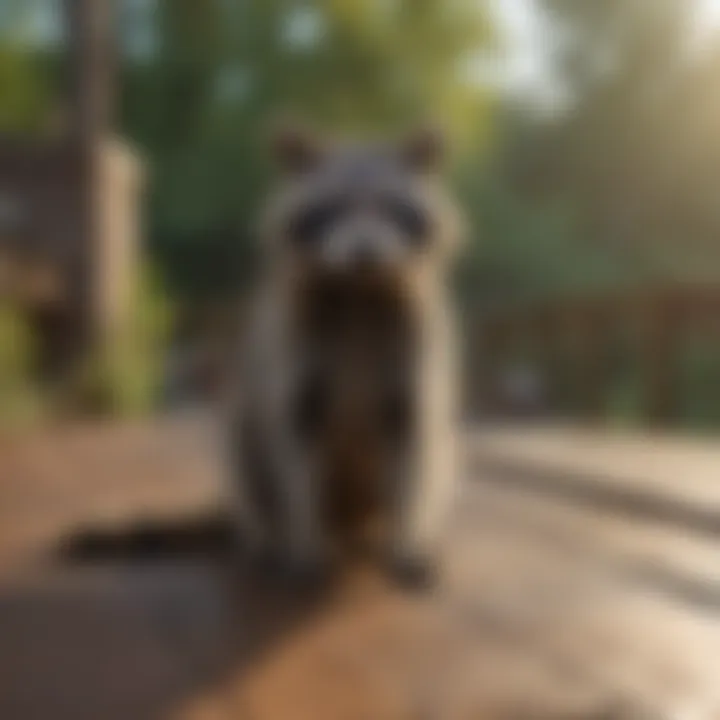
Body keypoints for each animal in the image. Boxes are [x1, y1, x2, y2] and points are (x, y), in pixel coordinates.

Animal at [224, 125, 464, 591]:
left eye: (392, 207)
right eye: (330, 208)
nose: (364, 254)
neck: (360, 293)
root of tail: (352, 521)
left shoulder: (413, 355)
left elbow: (413, 449)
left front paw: (407, 540)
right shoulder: (295, 354)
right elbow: (294, 455)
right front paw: (304, 543)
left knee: (439, 457)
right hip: (245, 431)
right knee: (249, 460)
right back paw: (270, 538)